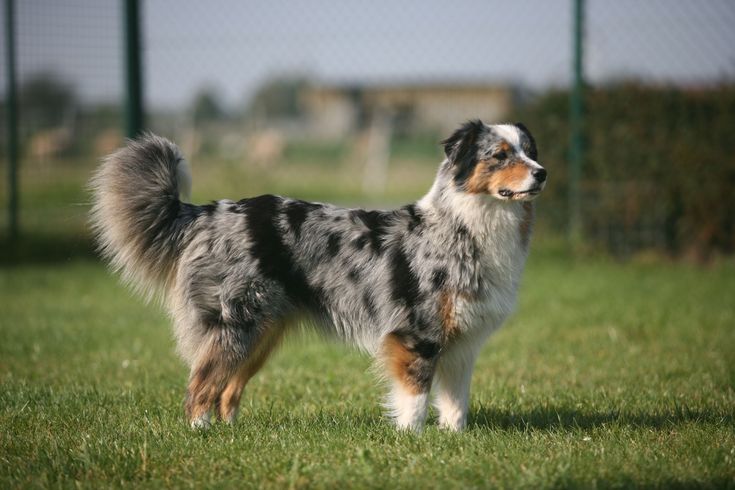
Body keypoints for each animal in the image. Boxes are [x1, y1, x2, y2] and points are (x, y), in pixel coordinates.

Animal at [90, 120, 548, 430]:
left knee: (228, 388)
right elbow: (416, 398)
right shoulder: (417, 335)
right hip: (234, 325)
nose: (542, 172)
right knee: (201, 385)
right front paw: (412, 440)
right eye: (500, 155)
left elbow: (455, 403)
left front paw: (454, 439)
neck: (468, 225)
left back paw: (231, 433)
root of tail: (206, 212)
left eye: (530, 150)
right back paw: (201, 431)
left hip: (262, 332)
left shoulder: (462, 344)